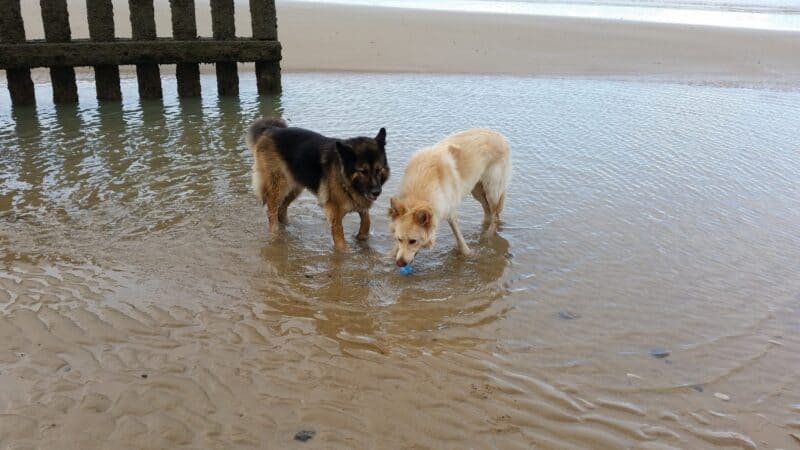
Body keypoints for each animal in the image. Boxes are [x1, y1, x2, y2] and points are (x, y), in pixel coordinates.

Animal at [247, 118, 390, 250]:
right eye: (363, 171)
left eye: (378, 170)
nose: (376, 192)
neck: (343, 175)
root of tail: (270, 130)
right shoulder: (335, 214)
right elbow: (341, 242)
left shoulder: (359, 202)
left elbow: (366, 220)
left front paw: (361, 237)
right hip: (279, 187)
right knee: (272, 211)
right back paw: (274, 234)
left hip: (295, 187)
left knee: (281, 210)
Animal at [390, 127, 512, 268]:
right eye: (399, 239)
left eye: (412, 241)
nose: (399, 263)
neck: (420, 189)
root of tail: (501, 136)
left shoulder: (450, 211)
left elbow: (459, 239)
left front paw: (468, 254)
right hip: (477, 191)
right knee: (487, 211)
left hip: (491, 191)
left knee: (495, 215)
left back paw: (488, 235)